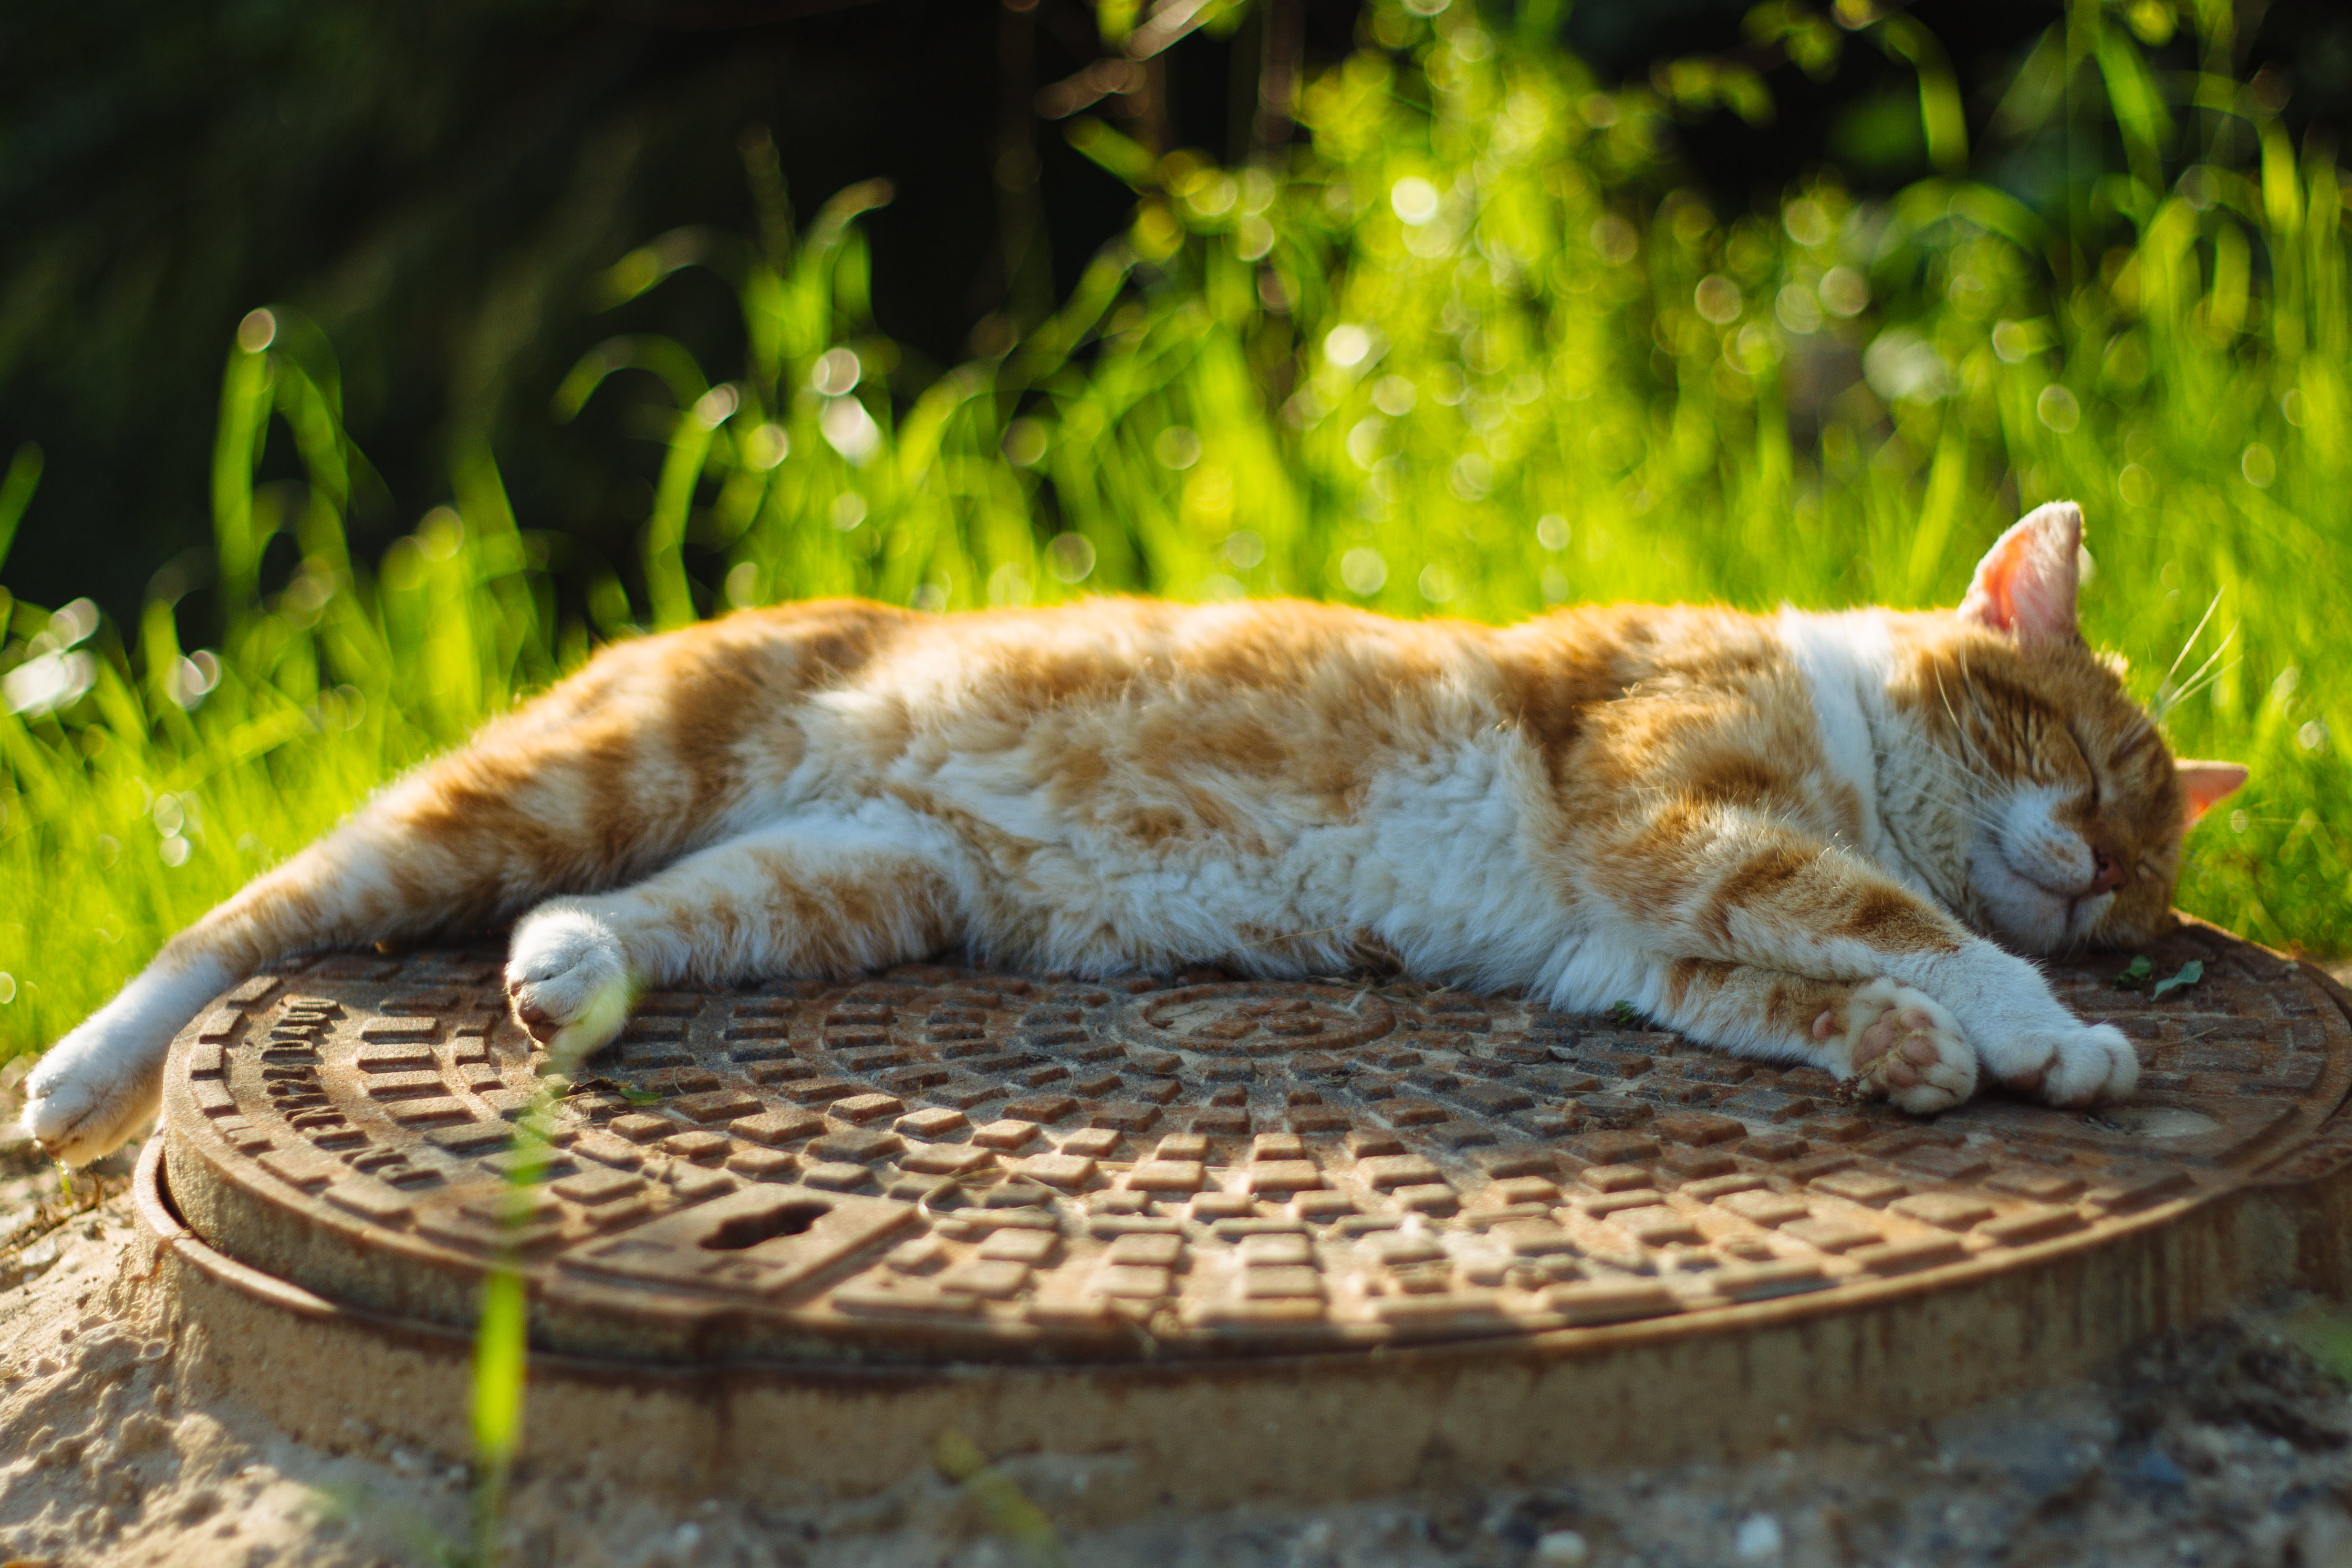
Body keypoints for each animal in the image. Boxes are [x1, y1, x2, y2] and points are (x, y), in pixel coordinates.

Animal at [23, 503, 2258, 1166]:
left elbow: (1802, 983)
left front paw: (1924, 1045)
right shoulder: (1680, 807)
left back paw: (565, 975)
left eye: (2156, 865)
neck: (1832, 719)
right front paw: (2044, 1028)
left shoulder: (1642, 933)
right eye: (2091, 755)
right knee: (250, 913)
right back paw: (65, 1071)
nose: (2103, 880)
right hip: (573, 775)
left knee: (615, 911)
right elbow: (1903, 916)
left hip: (844, 879)